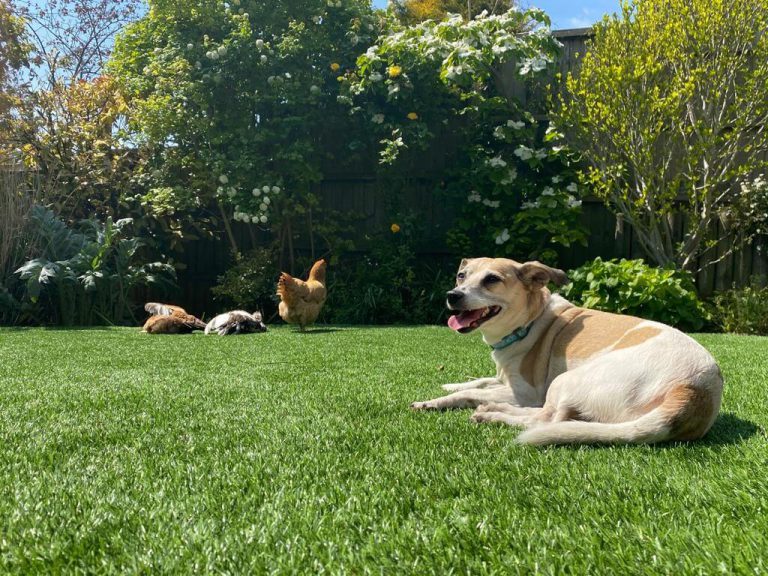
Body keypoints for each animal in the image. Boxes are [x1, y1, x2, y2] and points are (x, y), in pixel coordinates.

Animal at [412, 258, 724, 448]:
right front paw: (450, 384)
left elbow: (471, 393)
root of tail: (693, 391)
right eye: (461, 275)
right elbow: (477, 382)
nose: (453, 295)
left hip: (566, 381)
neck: (530, 321)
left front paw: (433, 402)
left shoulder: (524, 392)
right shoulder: (504, 379)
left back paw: (493, 414)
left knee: (545, 419)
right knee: (555, 417)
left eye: (491, 280)